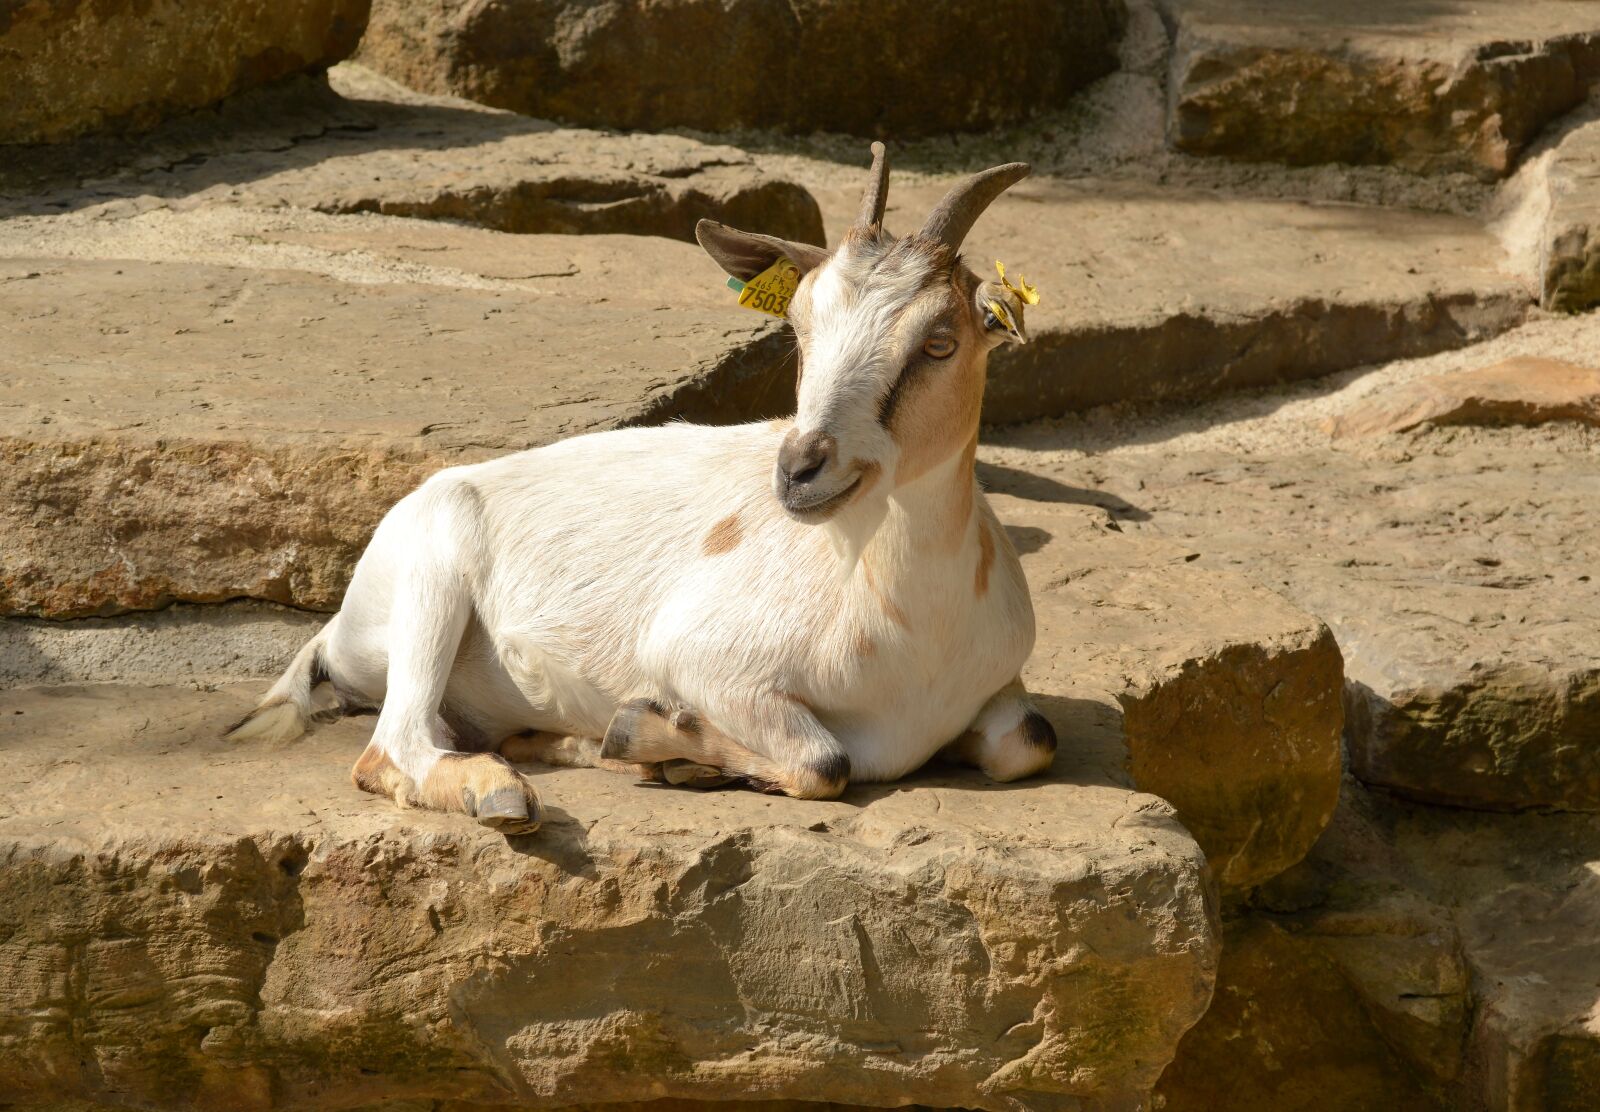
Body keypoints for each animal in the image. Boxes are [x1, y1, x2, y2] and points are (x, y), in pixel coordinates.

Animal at [229, 144, 1056, 834]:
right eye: (799, 326)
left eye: (939, 340)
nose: (798, 471)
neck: (911, 626)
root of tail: (339, 625)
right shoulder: (702, 659)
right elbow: (827, 762)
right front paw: (659, 736)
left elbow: (1032, 740)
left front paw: (664, 750)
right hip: (435, 576)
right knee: (391, 747)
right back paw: (508, 792)